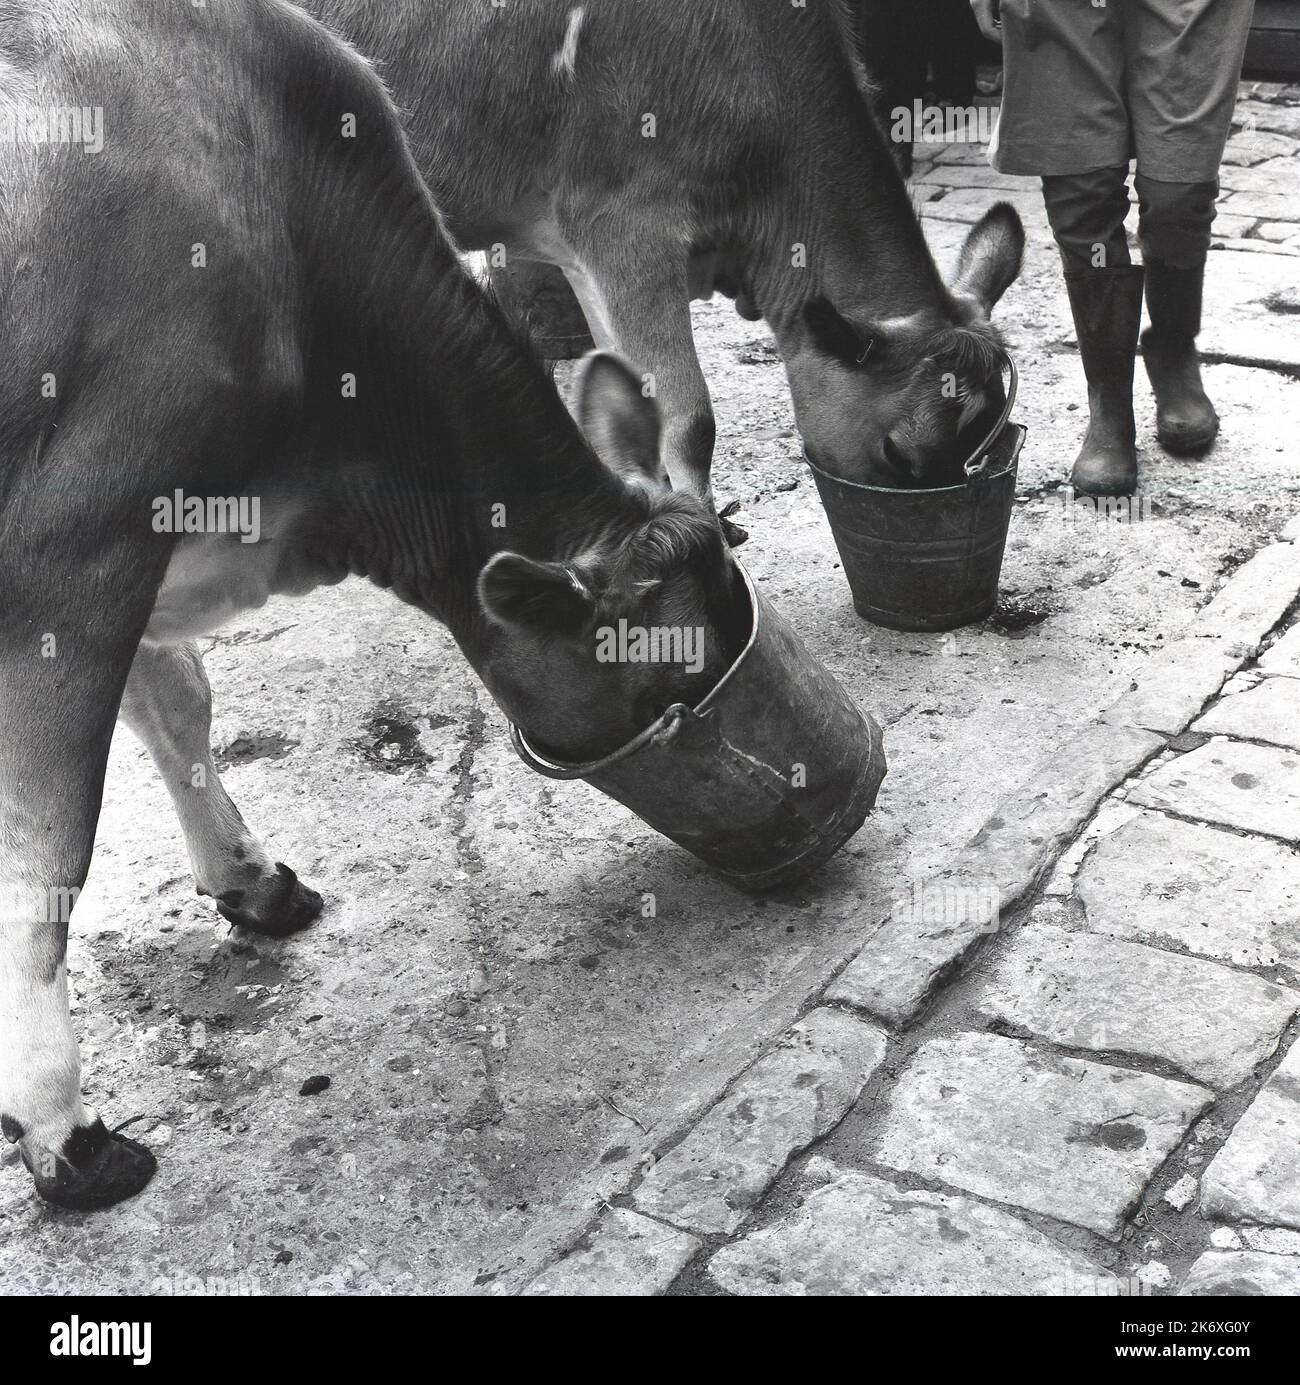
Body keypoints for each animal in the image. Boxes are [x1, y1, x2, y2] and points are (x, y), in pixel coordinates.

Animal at [0, 0, 753, 1207]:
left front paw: (251, 879)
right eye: (673, 682)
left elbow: (180, 701)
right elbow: (51, 845)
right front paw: (61, 1131)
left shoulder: (139, 541)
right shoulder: (75, 540)